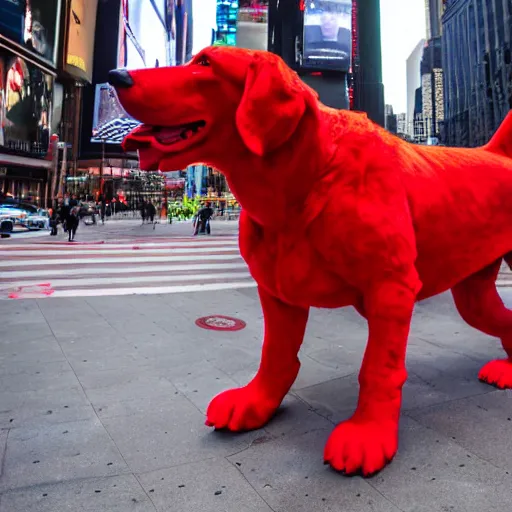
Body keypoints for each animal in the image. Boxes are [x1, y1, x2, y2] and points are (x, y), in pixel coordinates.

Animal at [110, 47, 512, 476]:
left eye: (205, 64)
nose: (117, 76)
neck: (303, 178)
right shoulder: (277, 292)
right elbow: (275, 355)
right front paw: (256, 403)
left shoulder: (390, 289)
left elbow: (378, 368)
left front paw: (369, 432)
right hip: (472, 293)